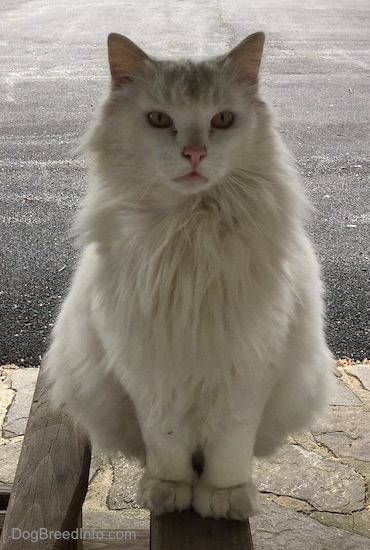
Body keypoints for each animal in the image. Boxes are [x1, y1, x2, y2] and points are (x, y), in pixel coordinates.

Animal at [44, 32, 334, 524]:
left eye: (223, 120)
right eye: (160, 119)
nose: (195, 154)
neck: (189, 232)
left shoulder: (248, 369)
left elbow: (229, 450)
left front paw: (225, 497)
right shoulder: (149, 371)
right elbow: (166, 443)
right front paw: (169, 491)